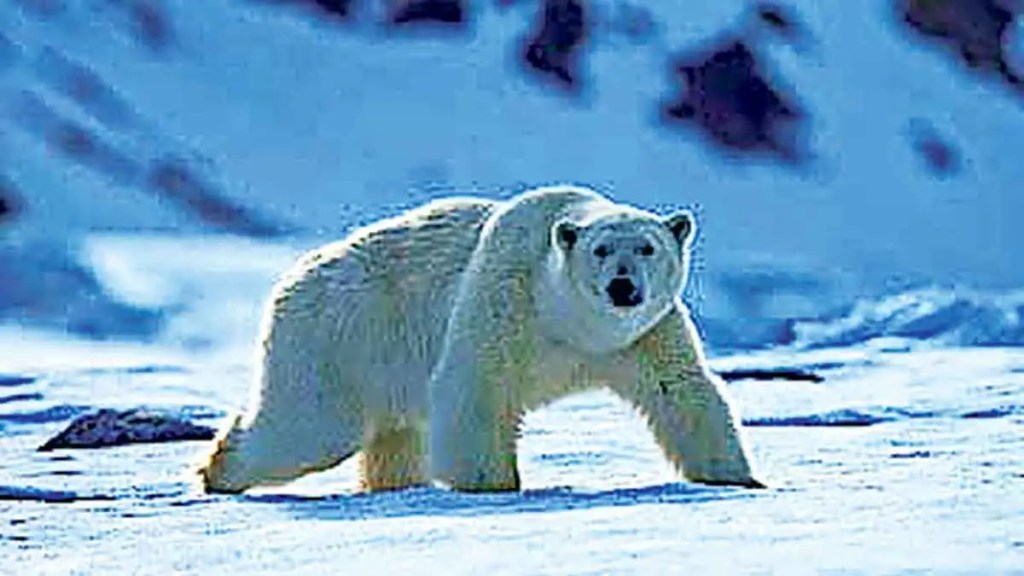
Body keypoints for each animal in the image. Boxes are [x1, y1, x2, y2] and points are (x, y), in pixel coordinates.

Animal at [197, 185, 765, 494]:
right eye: (602, 250)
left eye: (647, 247)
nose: (623, 287)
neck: (571, 323)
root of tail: (293, 276)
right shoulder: (506, 296)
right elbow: (476, 391)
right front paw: (493, 486)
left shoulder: (645, 335)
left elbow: (683, 393)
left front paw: (742, 480)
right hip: (338, 340)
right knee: (310, 428)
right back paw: (217, 470)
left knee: (395, 438)